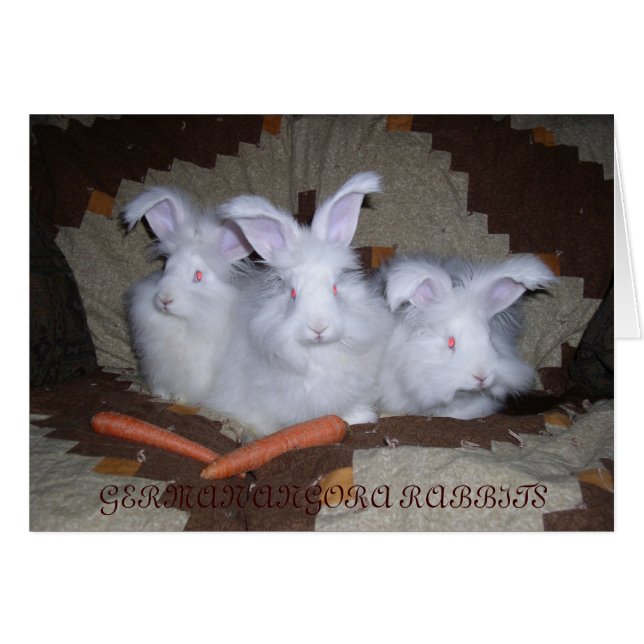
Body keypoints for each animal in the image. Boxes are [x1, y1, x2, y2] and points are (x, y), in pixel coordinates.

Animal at [122, 186, 253, 406]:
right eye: (166, 267)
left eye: (198, 276)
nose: (165, 299)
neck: (181, 322)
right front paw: (160, 395)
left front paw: (179, 400)